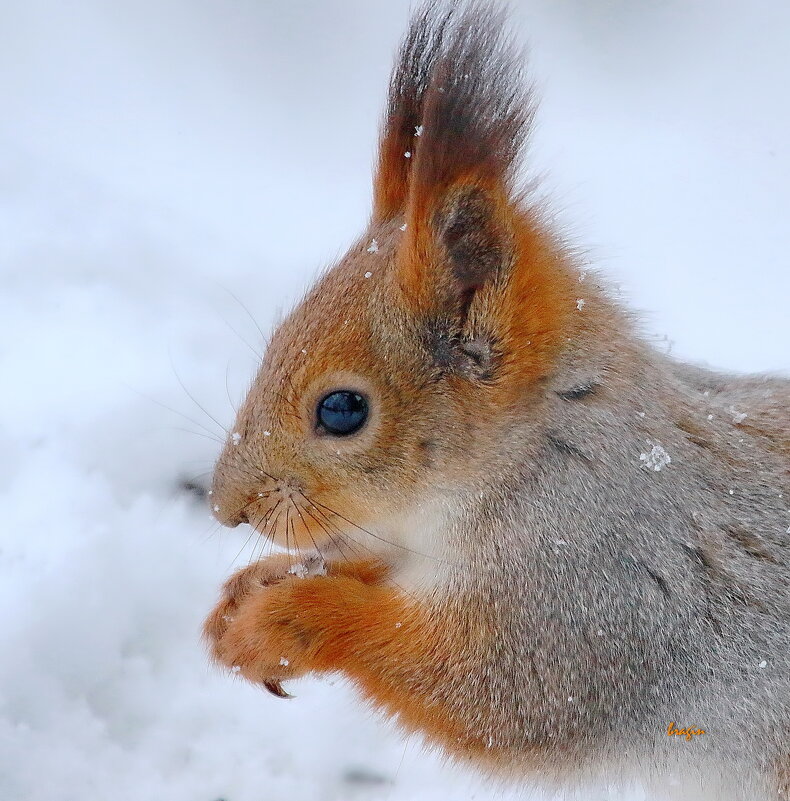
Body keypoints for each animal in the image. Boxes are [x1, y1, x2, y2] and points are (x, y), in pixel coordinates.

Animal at [206, 3, 790, 796]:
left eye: (341, 410)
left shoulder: (591, 590)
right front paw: (254, 587)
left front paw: (295, 617)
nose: (225, 507)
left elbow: (493, 696)